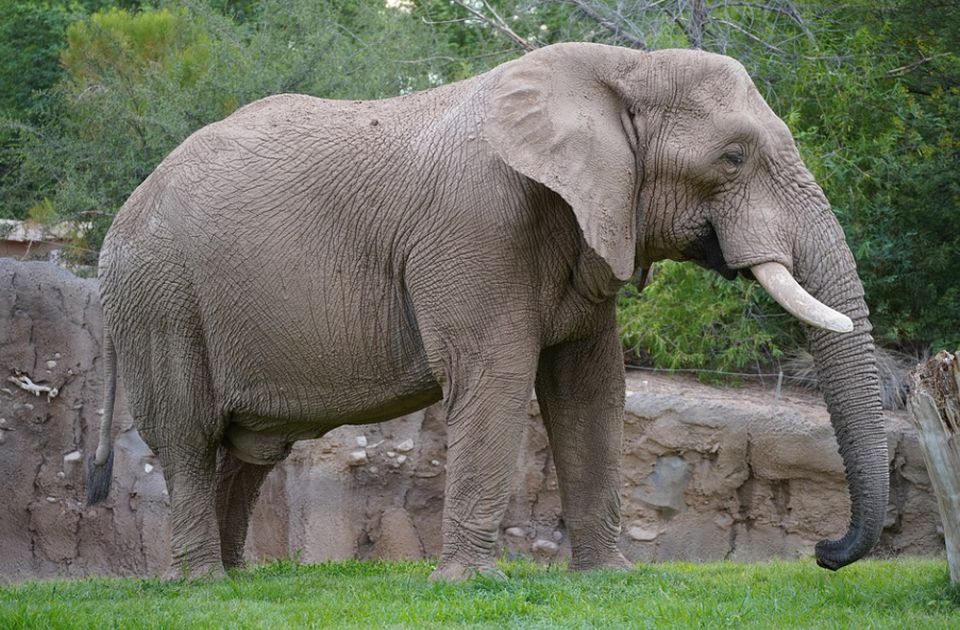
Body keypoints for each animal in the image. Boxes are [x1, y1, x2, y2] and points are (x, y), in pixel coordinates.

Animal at [86, 40, 888, 584]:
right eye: (732, 158)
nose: (824, 553)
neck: (622, 68)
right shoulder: (476, 224)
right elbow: (497, 375)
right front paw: (471, 585)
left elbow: (591, 390)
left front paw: (609, 579)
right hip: (160, 298)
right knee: (188, 437)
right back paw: (200, 584)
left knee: (252, 449)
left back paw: (236, 582)